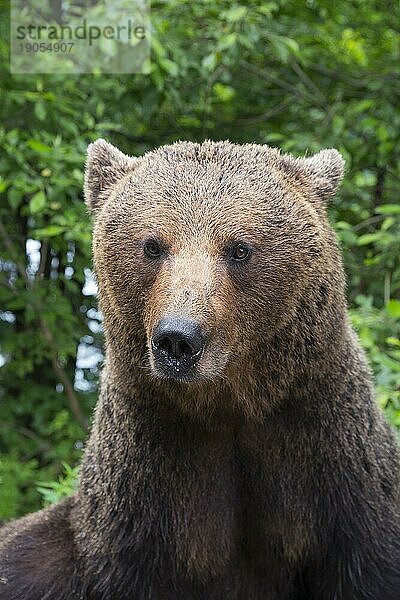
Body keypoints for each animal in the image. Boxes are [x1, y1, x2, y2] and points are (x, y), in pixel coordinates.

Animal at [0, 138, 400, 596]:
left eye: (239, 248)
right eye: (152, 245)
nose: (178, 339)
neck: (229, 406)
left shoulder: (338, 478)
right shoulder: (140, 503)